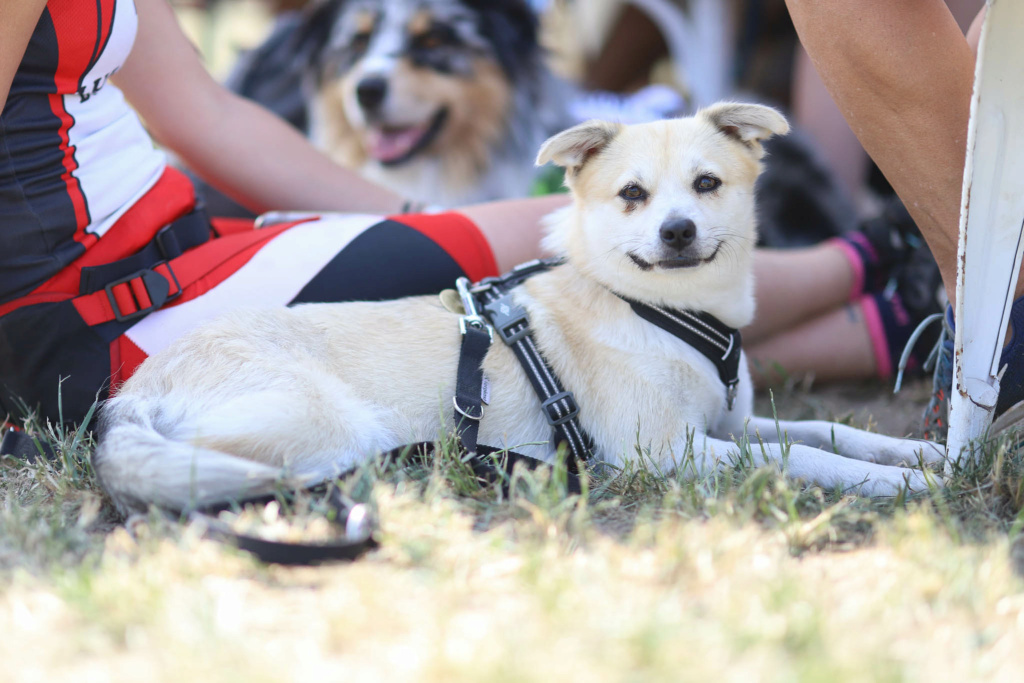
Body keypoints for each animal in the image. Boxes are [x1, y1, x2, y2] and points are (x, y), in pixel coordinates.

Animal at [94, 104, 942, 511]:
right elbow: (803, 456)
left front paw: (920, 453)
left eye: (707, 184)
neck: (658, 309)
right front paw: (904, 486)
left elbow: (824, 429)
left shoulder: (730, 426)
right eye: (631, 194)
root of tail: (135, 392)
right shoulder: (673, 452)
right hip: (329, 424)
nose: (676, 231)